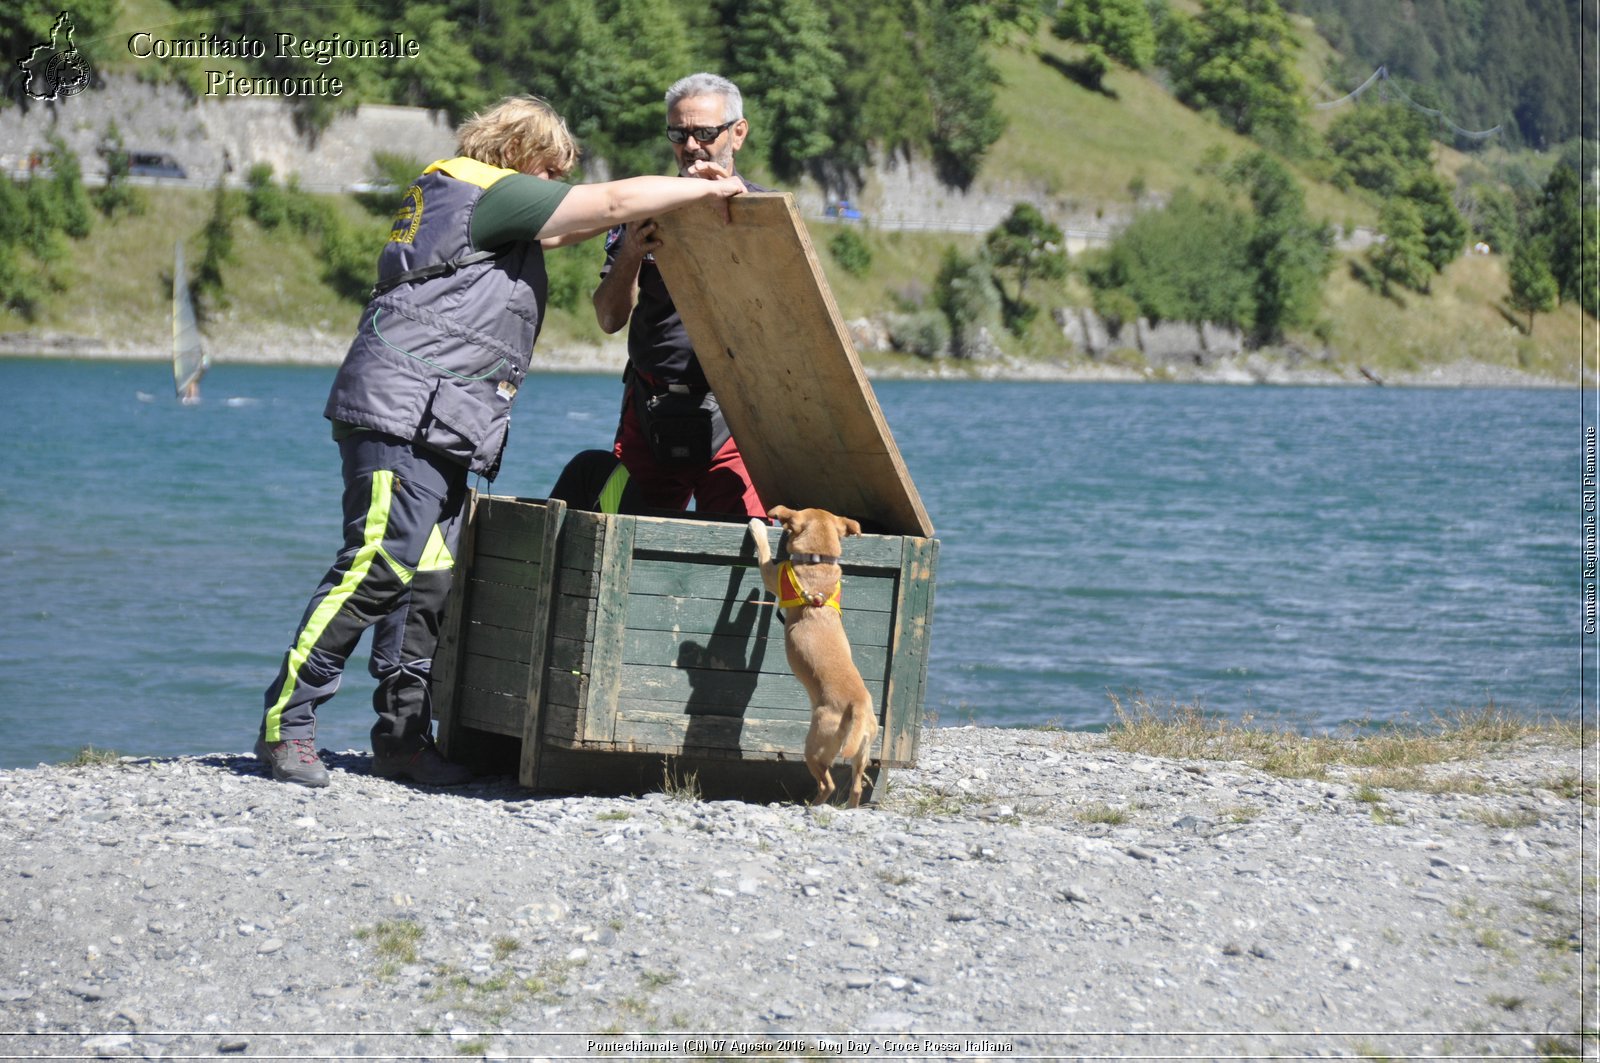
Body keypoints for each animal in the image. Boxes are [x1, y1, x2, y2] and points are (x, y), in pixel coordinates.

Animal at [745, 505, 883, 806]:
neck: (819, 562)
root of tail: (857, 705)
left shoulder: (770, 574)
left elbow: (763, 552)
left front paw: (758, 528)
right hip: (862, 752)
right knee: (855, 787)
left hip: (814, 745)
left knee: (827, 784)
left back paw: (813, 805)